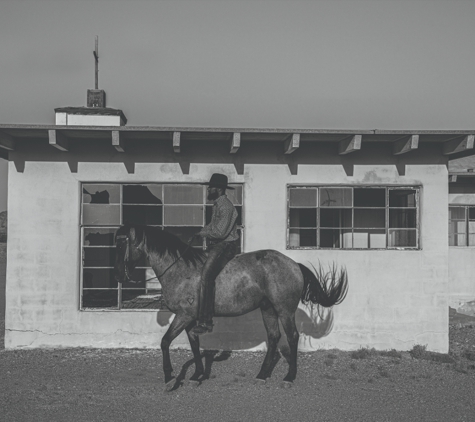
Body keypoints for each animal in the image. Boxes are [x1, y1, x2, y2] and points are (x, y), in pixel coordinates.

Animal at [113, 224, 348, 390]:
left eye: (122, 243)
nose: (118, 275)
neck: (179, 269)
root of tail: (293, 264)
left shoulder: (184, 316)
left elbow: (164, 342)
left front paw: (170, 378)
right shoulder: (189, 318)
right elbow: (194, 344)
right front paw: (197, 375)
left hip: (284, 309)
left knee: (292, 337)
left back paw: (289, 377)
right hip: (268, 308)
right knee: (273, 337)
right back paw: (262, 375)